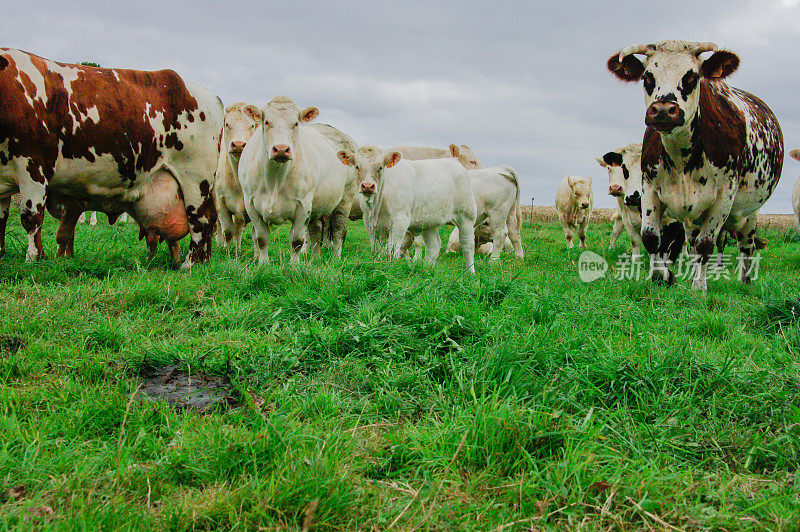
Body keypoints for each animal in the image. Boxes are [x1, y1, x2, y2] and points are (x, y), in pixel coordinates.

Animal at [336, 145, 476, 270]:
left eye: (380, 167)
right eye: (357, 166)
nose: (368, 186)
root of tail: (454, 161)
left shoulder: (400, 221)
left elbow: (392, 249)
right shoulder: (370, 223)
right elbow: (376, 249)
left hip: (466, 216)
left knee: (467, 245)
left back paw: (470, 272)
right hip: (430, 222)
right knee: (433, 246)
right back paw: (426, 269)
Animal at [608, 40, 784, 290]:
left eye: (692, 76)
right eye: (647, 77)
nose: (663, 110)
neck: (681, 156)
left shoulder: (724, 196)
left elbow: (705, 244)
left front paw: (699, 288)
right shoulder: (649, 187)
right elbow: (651, 239)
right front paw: (663, 277)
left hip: (751, 212)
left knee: (745, 245)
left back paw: (745, 282)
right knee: (691, 243)